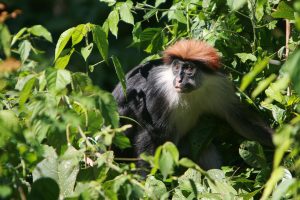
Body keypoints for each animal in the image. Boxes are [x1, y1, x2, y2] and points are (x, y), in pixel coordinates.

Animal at [111, 39, 274, 170]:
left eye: (189, 68)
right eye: (176, 67)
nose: (178, 80)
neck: (191, 92)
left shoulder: (220, 87)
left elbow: (240, 119)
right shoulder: (158, 90)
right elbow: (158, 137)